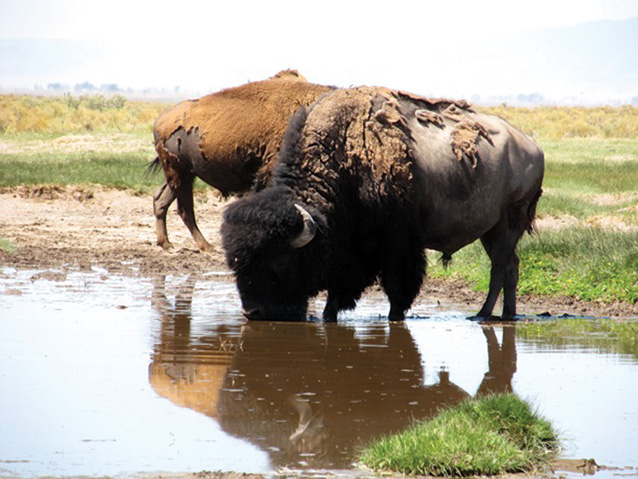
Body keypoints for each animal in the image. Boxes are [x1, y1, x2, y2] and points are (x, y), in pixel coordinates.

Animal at [148, 71, 332, 253]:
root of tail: (161, 118)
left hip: (183, 175)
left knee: (162, 200)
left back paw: (166, 243)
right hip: (180, 173)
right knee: (185, 209)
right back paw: (207, 247)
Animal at [222, 86, 548, 322]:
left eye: (280, 260)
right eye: (234, 260)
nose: (253, 312)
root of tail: (533, 147)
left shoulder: (397, 243)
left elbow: (397, 287)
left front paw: (394, 318)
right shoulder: (347, 252)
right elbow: (337, 291)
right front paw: (329, 316)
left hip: (508, 224)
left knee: (500, 268)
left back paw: (484, 315)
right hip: (491, 231)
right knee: (509, 266)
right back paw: (504, 314)